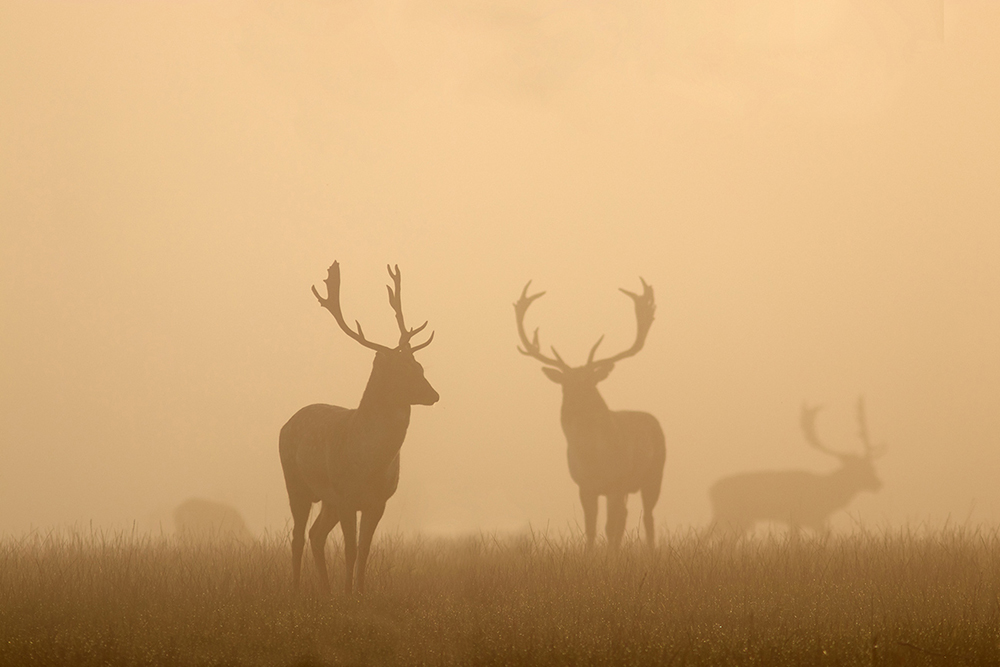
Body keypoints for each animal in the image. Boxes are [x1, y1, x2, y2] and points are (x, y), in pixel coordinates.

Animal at [279, 261, 438, 595]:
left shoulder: (379, 501)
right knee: (298, 537)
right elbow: (350, 550)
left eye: (419, 367)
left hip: (327, 500)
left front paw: (361, 593)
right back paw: (297, 590)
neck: (370, 464)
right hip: (296, 484)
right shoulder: (346, 494)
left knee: (315, 535)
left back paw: (326, 591)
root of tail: (286, 424)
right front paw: (349, 594)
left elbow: (364, 550)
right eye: (399, 370)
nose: (434, 395)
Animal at [514, 279, 666, 549]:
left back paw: (650, 550)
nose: (575, 407)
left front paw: (611, 556)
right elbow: (591, 529)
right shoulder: (584, 485)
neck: (593, 456)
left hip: (654, 474)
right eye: (566, 385)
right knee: (626, 517)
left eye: (590, 383)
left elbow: (609, 528)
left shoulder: (616, 482)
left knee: (647, 517)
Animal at [709, 397, 886, 538]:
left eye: (870, 465)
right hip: (729, 513)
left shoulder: (813, 519)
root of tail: (711, 491)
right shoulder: (803, 515)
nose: (878, 483)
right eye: (857, 468)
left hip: (737, 519)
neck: (827, 492)